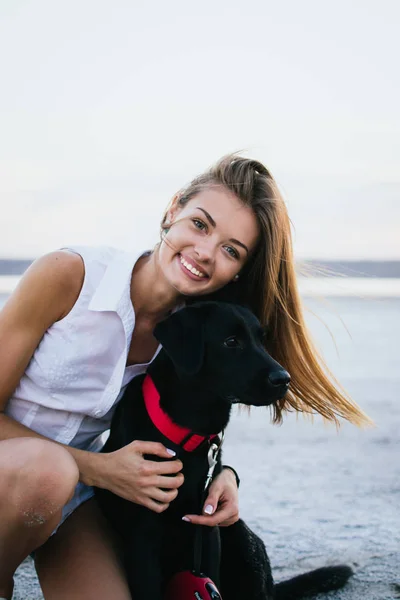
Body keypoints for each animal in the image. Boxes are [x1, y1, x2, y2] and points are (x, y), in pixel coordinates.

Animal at [95, 302, 352, 596]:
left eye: (262, 339)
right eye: (231, 342)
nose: (283, 379)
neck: (184, 434)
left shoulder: (208, 528)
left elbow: (210, 577)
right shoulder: (143, 538)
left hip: (241, 539)